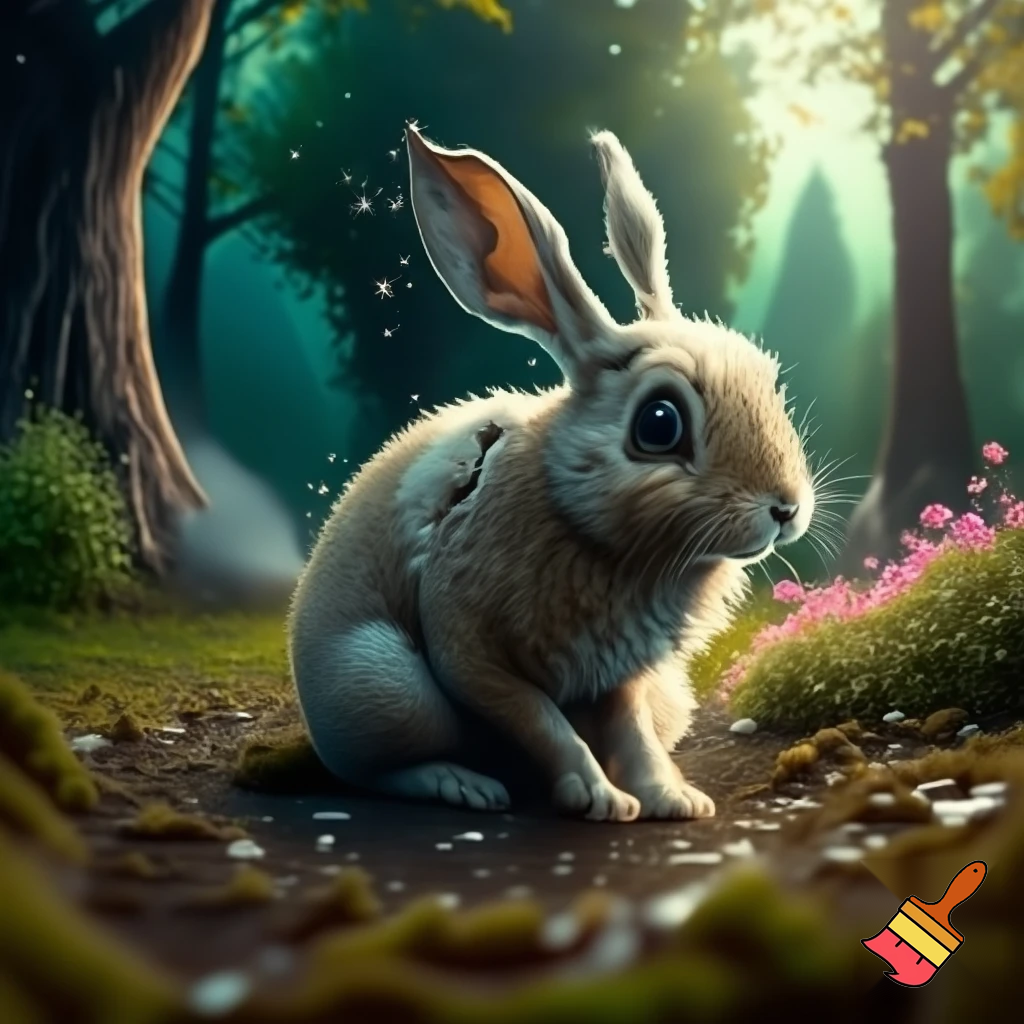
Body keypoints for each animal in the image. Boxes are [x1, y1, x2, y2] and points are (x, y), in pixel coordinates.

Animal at [287, 126, 816, 822]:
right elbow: (539, 719)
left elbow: (631, 731)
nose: (786, 508)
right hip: (382, 686)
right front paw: (600, 799)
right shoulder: (467, 646)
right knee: (371, 768)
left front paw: (672, 798)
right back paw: (462, 785)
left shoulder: (623, 675)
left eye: (769, 382)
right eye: (660, 423)